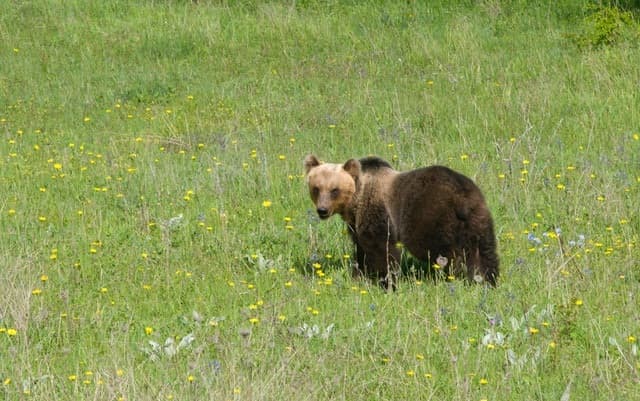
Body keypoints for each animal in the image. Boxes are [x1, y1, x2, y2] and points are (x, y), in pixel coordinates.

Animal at [304, 154, 499, 287]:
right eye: (316, 188)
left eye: (334, 189)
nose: (322, 210)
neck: (355, 201)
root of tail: (461, 197)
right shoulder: (355, 224)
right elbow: (361, 249)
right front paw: (359, 274)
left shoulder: (377, 212)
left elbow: (381, 249)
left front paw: (386, 281)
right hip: (478, 216)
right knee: (484, 251)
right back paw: (487, 279)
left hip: (430, 216)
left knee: (443, 251)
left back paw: (452, 276)